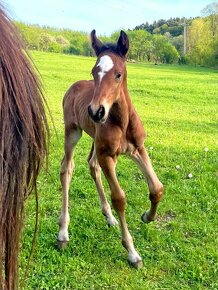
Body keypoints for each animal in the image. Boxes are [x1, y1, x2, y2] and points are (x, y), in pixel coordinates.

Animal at [58, 29, 164, 268]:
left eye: (118, 74)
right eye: (93, 72)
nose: (95, 111)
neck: (121, 121)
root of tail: (72, 87)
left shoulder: (138, 149)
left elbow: (157, 188)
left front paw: (147, 216)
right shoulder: (108, 155)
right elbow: (119, 198)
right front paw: (132, 252)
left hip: (94, 141)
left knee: (91, 165)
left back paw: (109, 217)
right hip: (73, 132)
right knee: (67, 169)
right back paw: (63, 233)